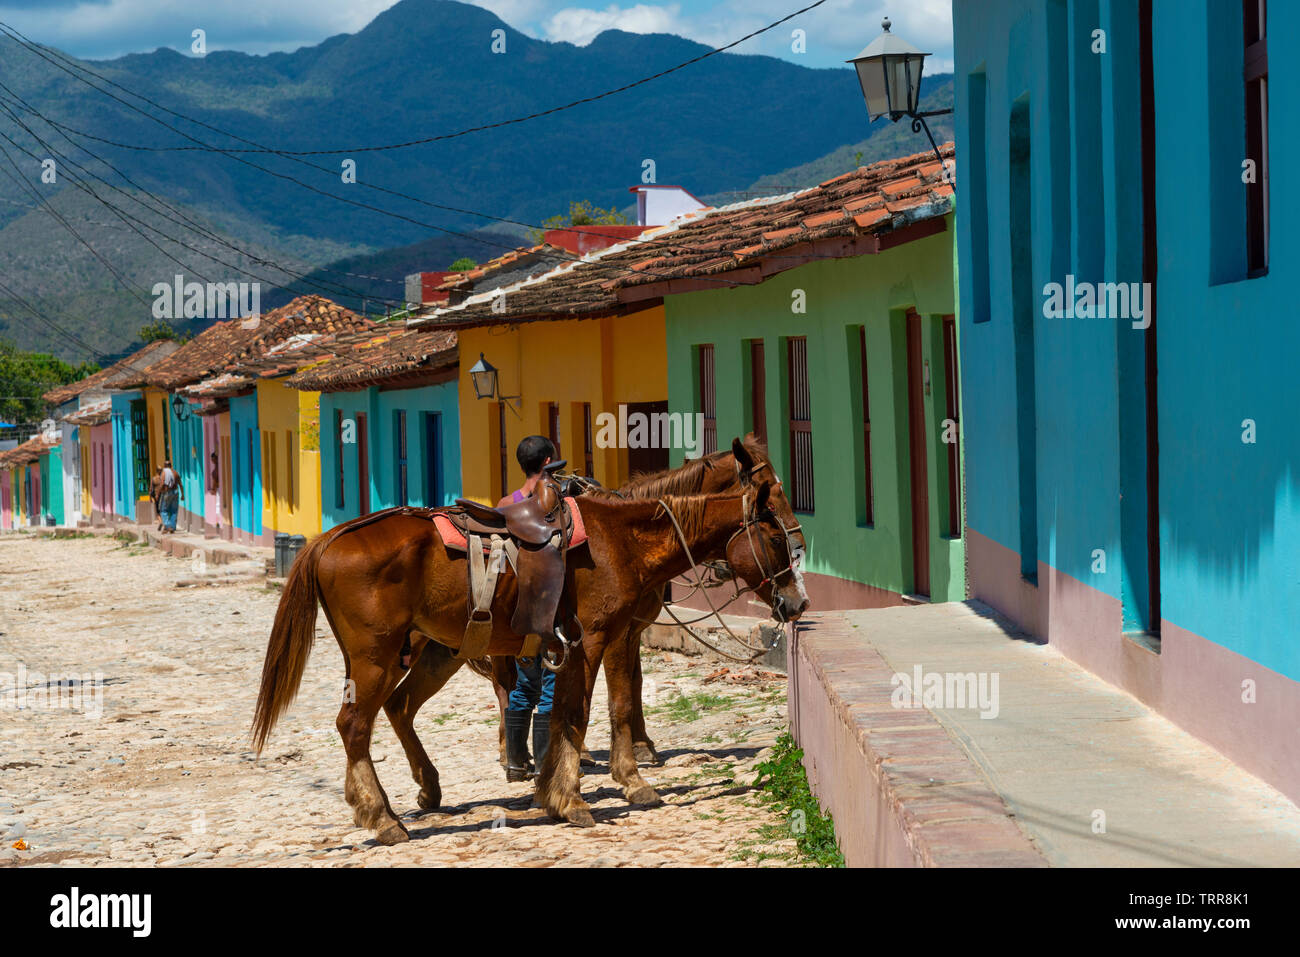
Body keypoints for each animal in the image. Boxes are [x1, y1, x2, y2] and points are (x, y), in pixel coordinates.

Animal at [248, 481, 806, 842]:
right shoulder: (595, 641)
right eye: (777, 538)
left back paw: (419, 792)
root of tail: (328, 539)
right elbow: (584, 716)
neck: (619, 541)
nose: (797, 603)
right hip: (376, 660)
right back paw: (383, 818)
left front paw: (566, 790)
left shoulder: (596, 643)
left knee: (395, 710)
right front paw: (578, 798)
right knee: (354, 725)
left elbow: (587, 713)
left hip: (418, 656)